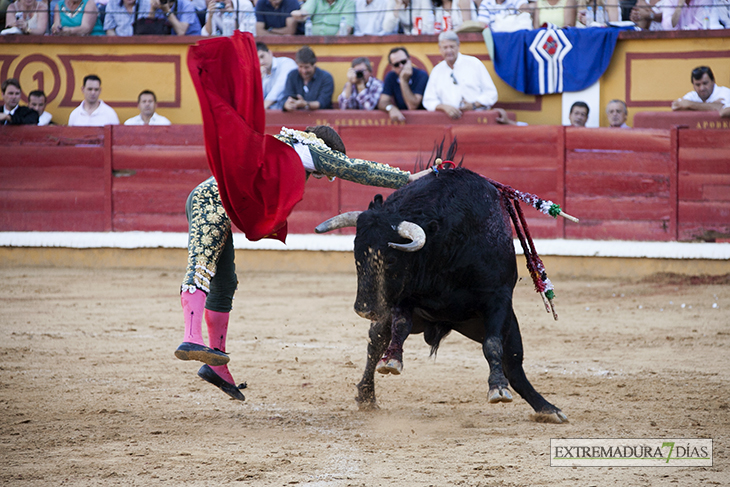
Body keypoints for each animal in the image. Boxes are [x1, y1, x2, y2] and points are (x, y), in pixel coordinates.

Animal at [316, 168, 564, 424]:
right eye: (357, 255)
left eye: (392, 259)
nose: (364, 308)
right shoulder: (403, 297)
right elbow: (400, 326)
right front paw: (393, 360)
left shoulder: (498, 298)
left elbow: (493, 344)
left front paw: (497, 388)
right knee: (376, 343)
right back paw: (367, 396)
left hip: (506, 325)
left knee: (513, 365)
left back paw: (547, 408)